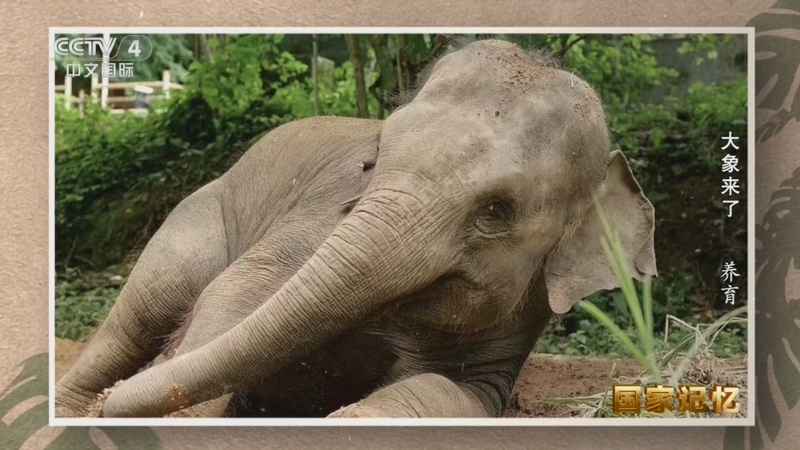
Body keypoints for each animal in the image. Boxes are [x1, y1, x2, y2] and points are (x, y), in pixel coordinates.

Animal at [54, 38, 657, 419]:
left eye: (497, 210)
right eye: (378, 154)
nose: (112, 402)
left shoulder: (517, 326)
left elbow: (460, 392)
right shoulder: (321, 213)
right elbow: (239, 290)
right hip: (196, 215)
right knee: (142, 314)